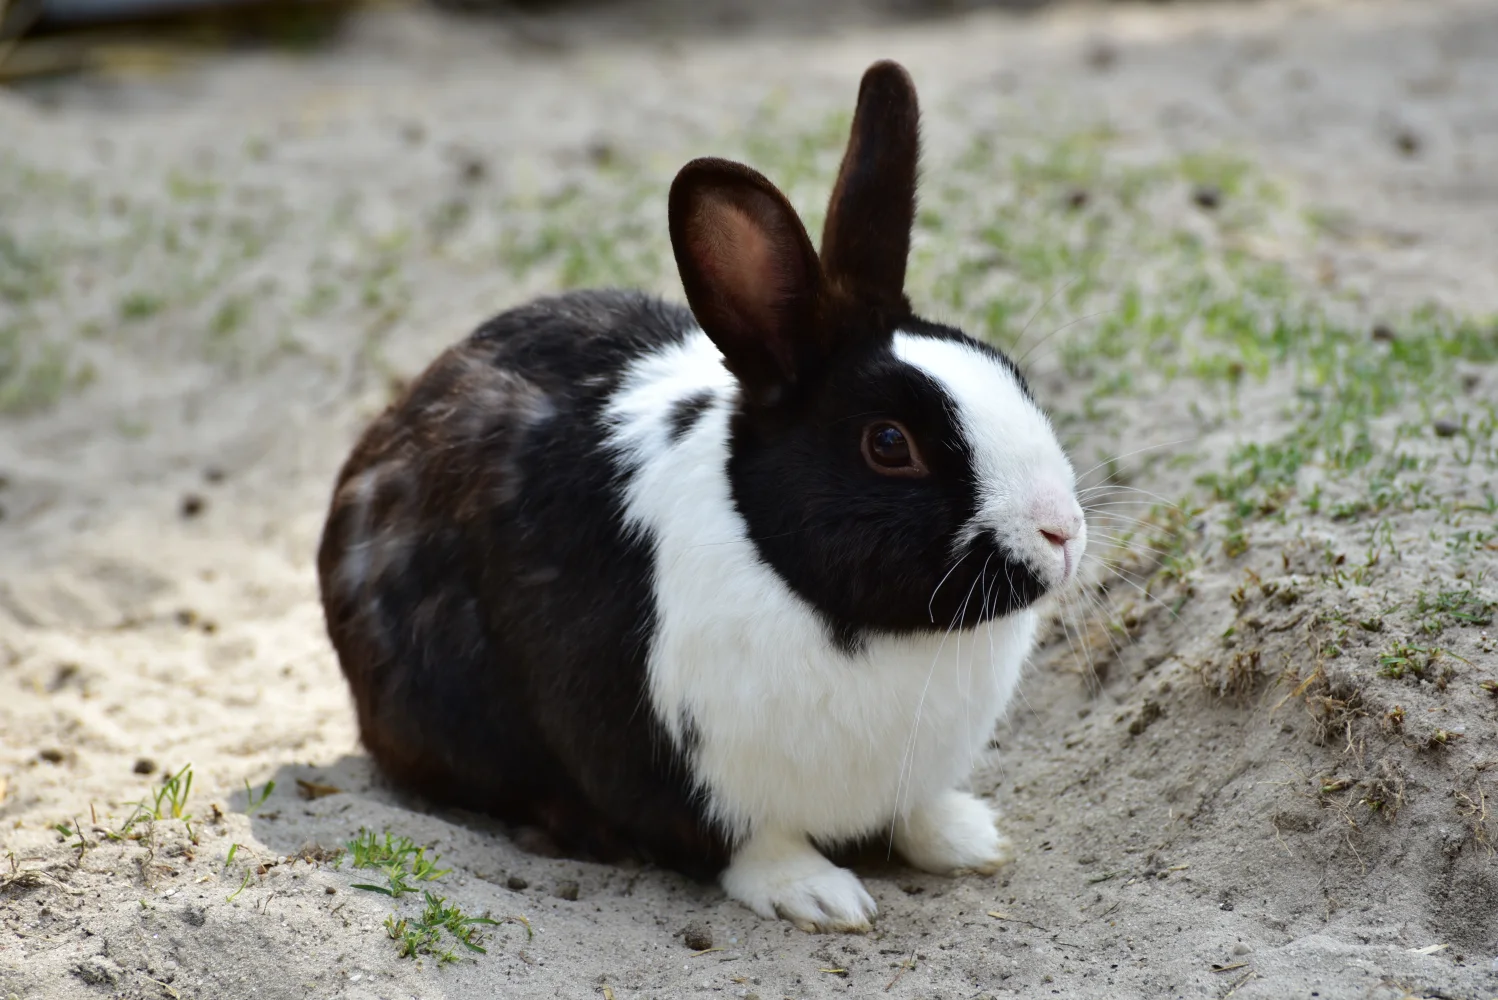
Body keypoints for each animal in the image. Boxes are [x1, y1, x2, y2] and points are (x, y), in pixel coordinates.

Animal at [316, 60, 1086, 933]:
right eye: (890, 444)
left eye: (1009, 371)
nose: (1062, 532)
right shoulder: (670, 759)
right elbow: (747, 842)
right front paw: (821, 896)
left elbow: (916, 812)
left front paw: (969, 839)